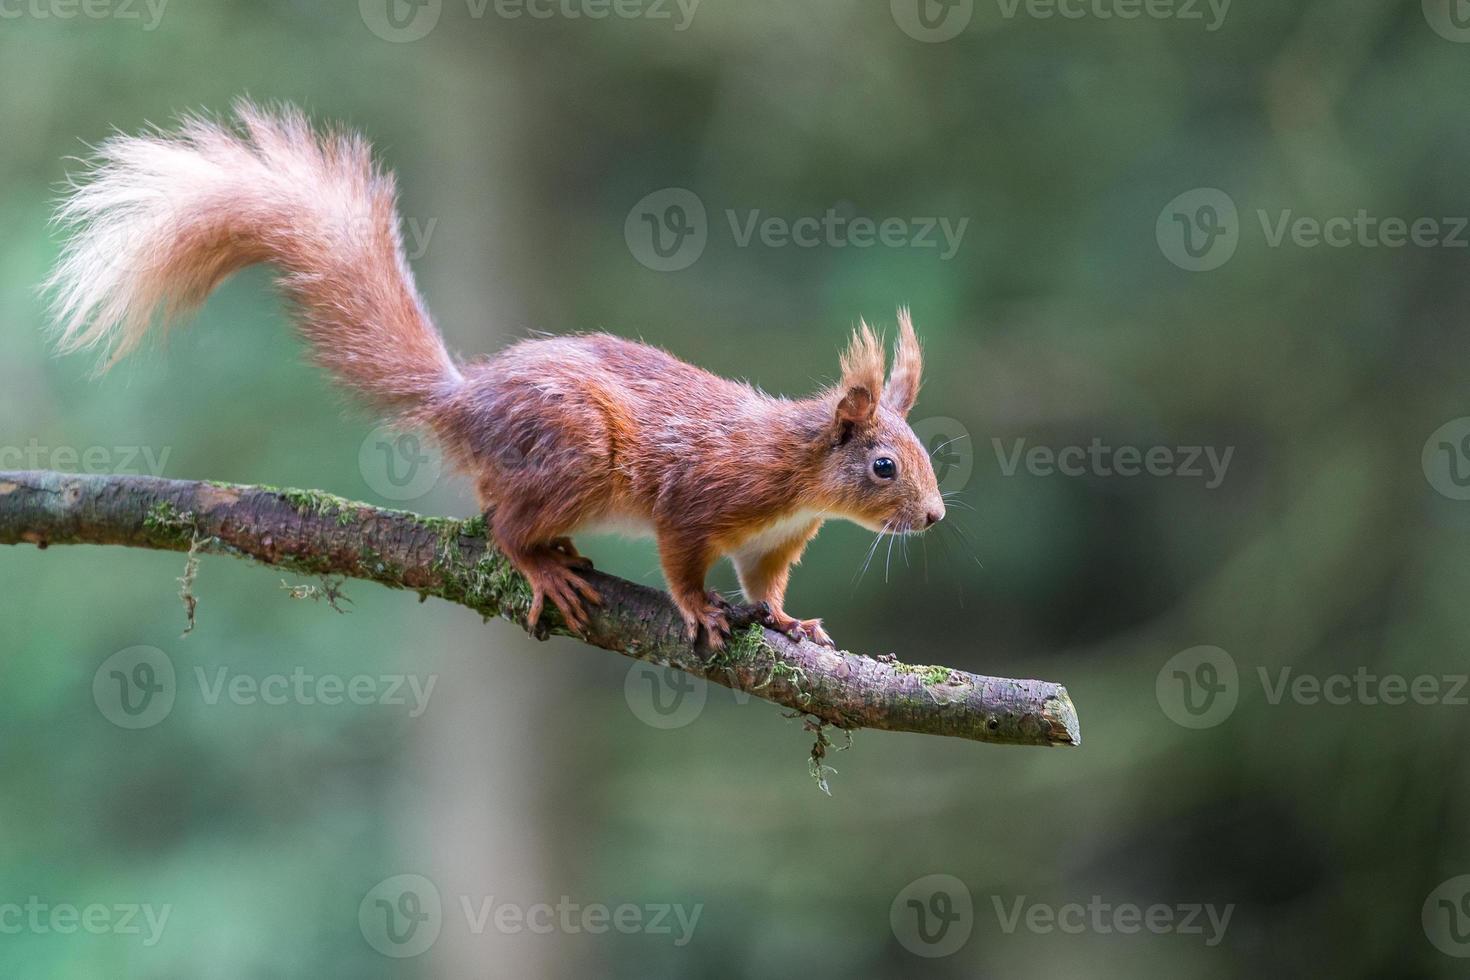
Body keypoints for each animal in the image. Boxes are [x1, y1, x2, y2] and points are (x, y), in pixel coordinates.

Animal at [45, 101, 946, 652]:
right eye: (883, 465)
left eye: (924, 456)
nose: (935, 517)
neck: (798, 477)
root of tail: (463, 403)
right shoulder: (701, 496)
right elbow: (682, 562)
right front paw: (698, 610)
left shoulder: (773, 542)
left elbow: (764, 583)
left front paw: (791, 621)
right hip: (574, 451)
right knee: (505, 526)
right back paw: (543, 563)